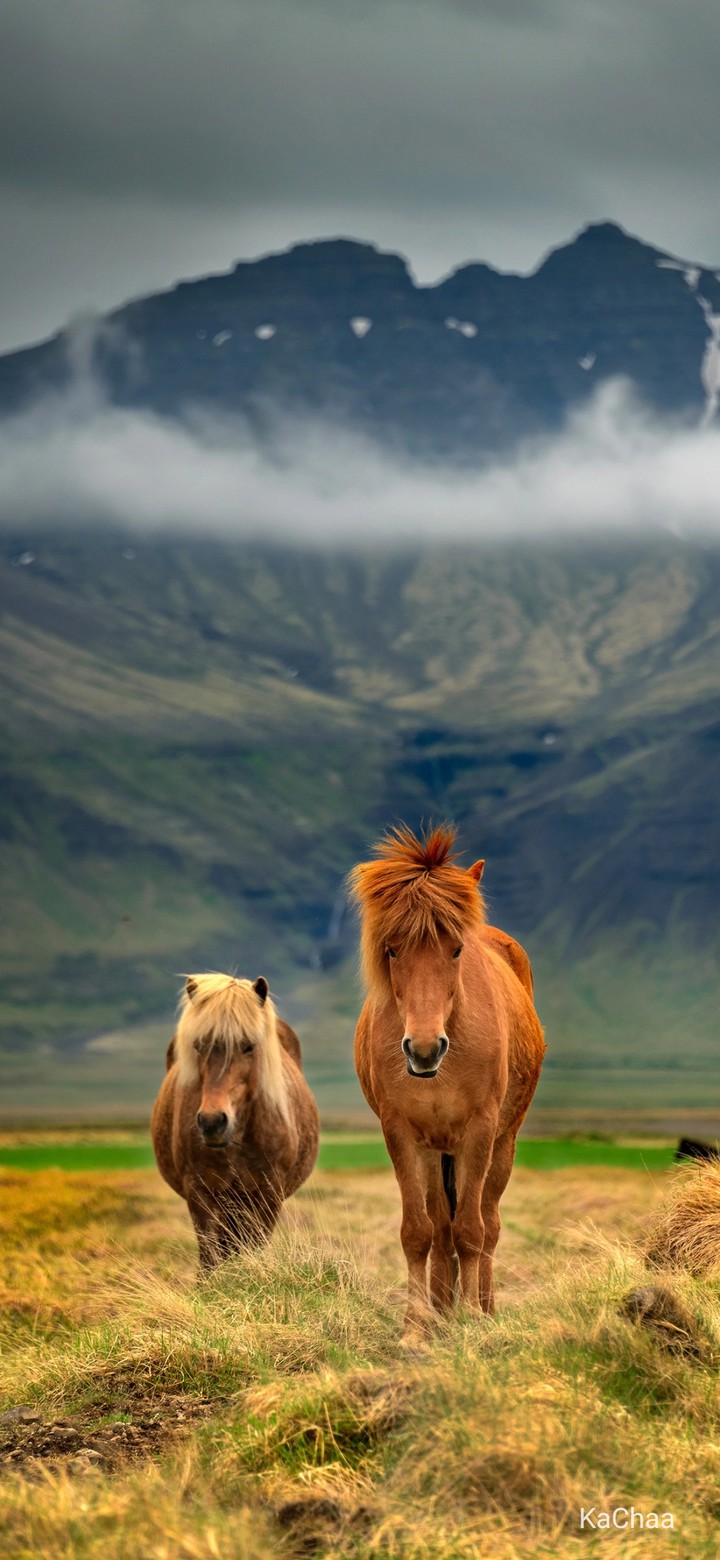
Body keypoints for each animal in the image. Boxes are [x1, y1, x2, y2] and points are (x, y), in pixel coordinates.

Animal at [151, 973, 319, 1270]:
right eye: (199, 1046)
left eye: (249, 1046)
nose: (212, 1122)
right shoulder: (200, 1192)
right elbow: (210, 1258)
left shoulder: (267, 1194)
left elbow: (254, 1247)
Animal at [350, 824, 545, 1335]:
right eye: (391, 949)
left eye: (456, 949)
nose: (424, 1049)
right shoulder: (402, 1133)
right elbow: (419, 1232)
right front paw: (416, 1325)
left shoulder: (479, 1131)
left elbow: (472, 1231)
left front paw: (474, 1319)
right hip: (436, 1151)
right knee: (440, 1227)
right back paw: (440, 1309)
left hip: (502, 1142)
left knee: (488, 1223)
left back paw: (483, 1307)